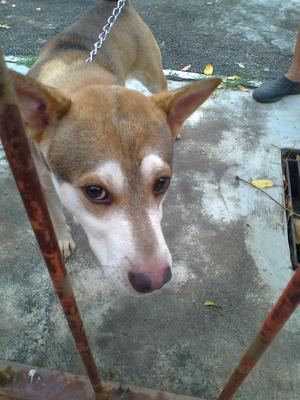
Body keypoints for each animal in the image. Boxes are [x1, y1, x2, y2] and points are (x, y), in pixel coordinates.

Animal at [10, 0, 220, 294]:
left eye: (162, 182)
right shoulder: (40, 178)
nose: (154, 280)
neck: (79, 76)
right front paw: (62, 238)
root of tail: (116, 6)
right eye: (95, 191)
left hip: (152, 72)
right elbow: (55, 215)